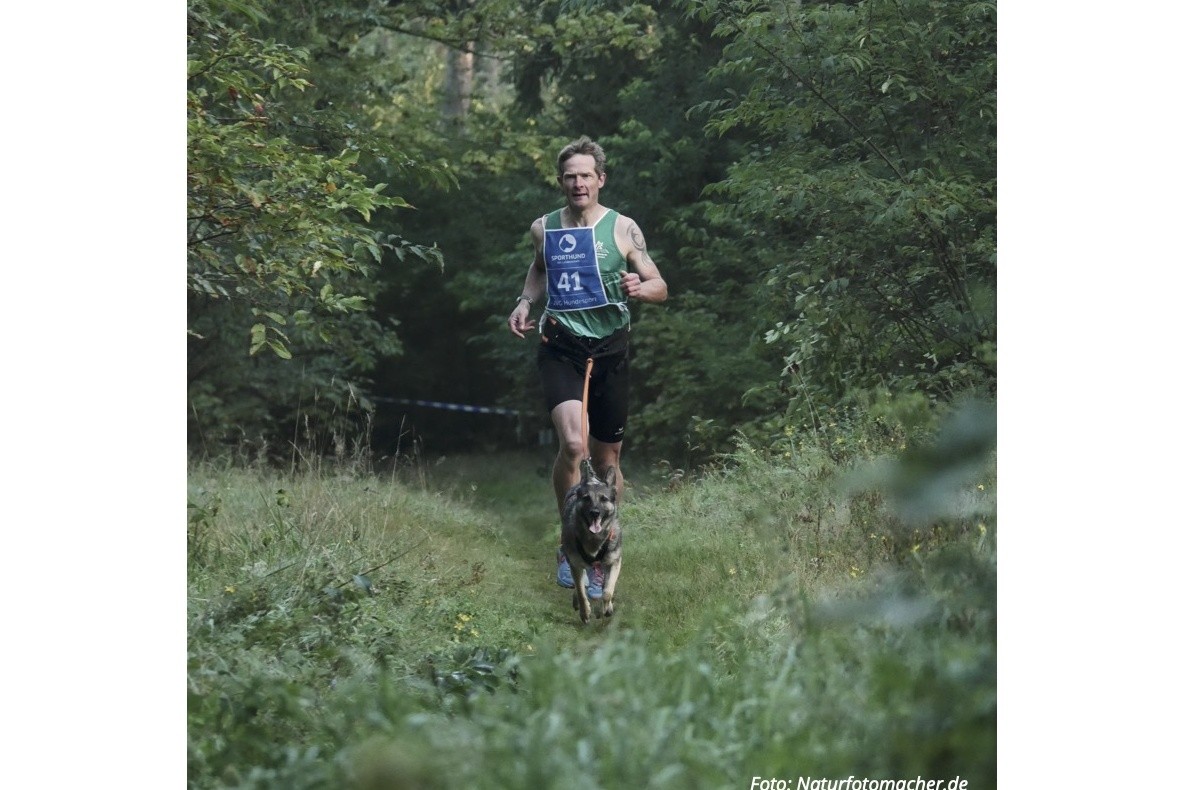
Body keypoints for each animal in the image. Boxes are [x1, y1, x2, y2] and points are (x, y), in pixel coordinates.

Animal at [559, 464, 625, 625]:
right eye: (586, 498)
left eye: (604, 499)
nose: (594, 512)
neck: (594, 539)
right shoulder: (575, 564)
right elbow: (581, 592)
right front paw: (585, 612)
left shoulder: (614, 562)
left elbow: (607, 591)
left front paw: (604, 609)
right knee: (579, 585)